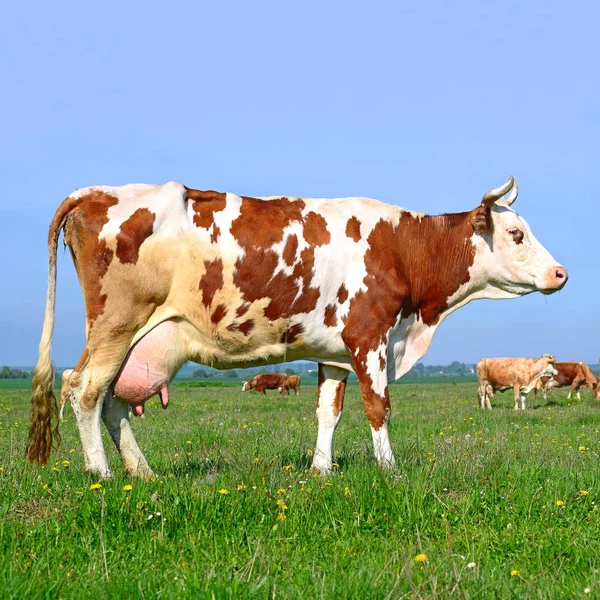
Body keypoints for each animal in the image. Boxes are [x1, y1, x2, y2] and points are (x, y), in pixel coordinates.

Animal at [24, 175, 568, 478]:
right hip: (116, 324)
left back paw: (143, 474)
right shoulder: (369, 337)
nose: (561, 273)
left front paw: (321, 471)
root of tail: (95, 192)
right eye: (516, 233)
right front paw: (390, 471)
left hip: (137, 338)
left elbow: (329, 411)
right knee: (85, 391)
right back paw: (102, 475)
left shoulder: (335, 352)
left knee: (110, 400)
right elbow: (379, 408)